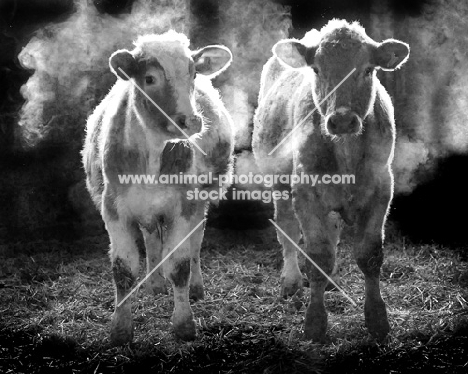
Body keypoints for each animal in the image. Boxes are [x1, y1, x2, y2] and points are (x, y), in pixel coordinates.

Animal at [82, 32, 234, 344]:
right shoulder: (114, 209)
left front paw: (184, 323)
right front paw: (120, 328)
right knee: (152, 241)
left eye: (193, 73)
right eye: (150, 78)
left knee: (195, 243)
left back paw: (196, 287)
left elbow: (180, 266)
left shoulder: (184, 206)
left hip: (203, 198)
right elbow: (124, 270)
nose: (191, 121)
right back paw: (154, 282)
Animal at [252, 20, 410, 342]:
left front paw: (377, 320)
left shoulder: (381, 188)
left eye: (368, 69)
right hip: (278, 181)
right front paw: (315, 323)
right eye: (316, 69)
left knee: (333, 233)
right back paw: (291, 281)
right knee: (287, 229)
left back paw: (332, 282)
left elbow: (369, 254)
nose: (342, 120)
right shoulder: (305, 192)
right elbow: (318, 255)